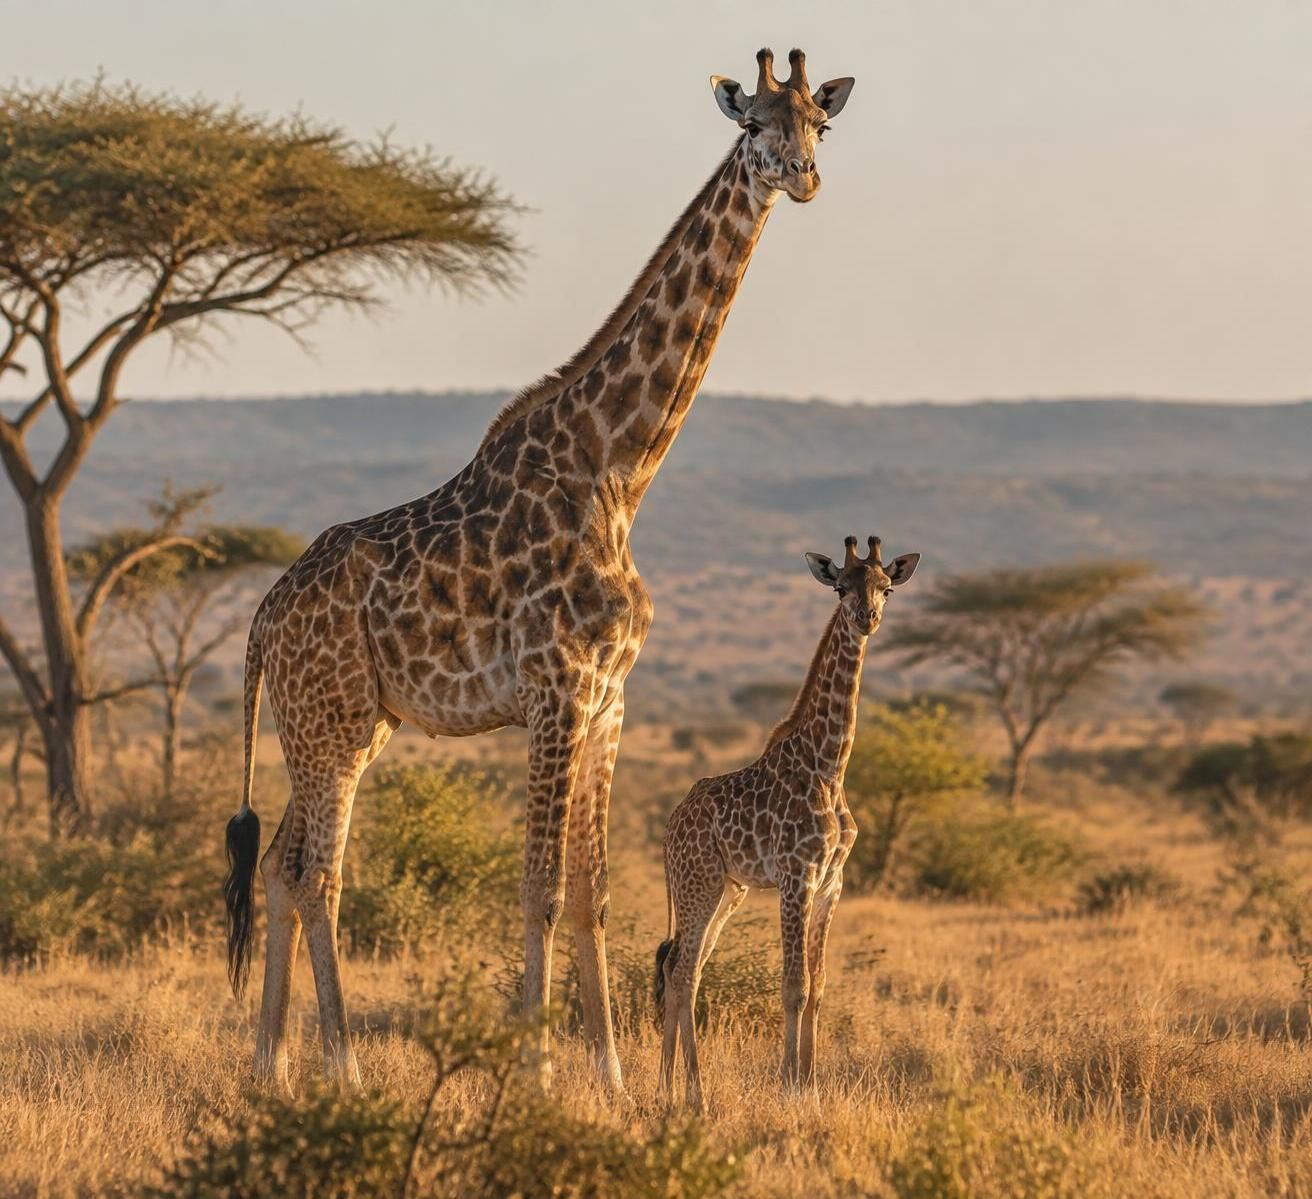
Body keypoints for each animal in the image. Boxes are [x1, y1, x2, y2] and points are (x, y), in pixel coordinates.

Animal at [222, 47, 857, 1097]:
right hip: (332, 724)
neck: (619, 469)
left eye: (821, 122)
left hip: (344, 724)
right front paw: (536, 1075)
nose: (803, 177)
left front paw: (613, 1078)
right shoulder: (553, 689)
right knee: (318, 873)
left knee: (278, 863)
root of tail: (262, 620)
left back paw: (270, 1066)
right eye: (753, 125)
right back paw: (340, 1068)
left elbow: (594, 891)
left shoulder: (608, 698)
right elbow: (541, 888)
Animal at [655, 535, 920, 1110]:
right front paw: (789, 1090)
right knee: (682, 971)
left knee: (683, 968)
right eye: (841, 586)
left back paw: (668, 1088)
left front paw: (812, 1087)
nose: (867, 617)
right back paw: (694, 1093)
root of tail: (669, 829)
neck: (830, 765)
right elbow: (793, 986)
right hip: (698, 883)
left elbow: (818, 988)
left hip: (728, 891)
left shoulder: (831, 882)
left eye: (886, 587)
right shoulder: (796, 877)